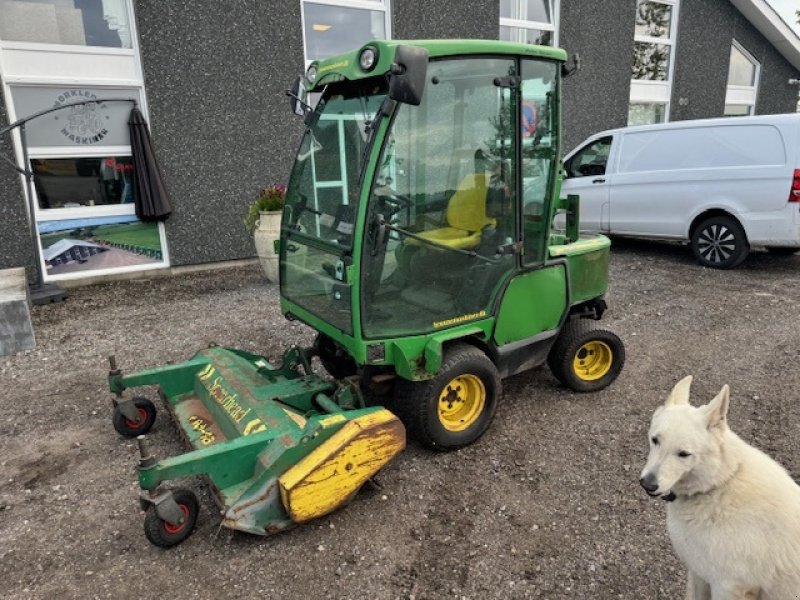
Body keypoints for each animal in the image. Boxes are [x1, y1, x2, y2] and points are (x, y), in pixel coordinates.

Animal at [636, 378, 800, 596]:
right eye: (655, 440)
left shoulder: (726, 586)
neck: (719, 484)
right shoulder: (700, 573)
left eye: (684, 454)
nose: (648, 484)